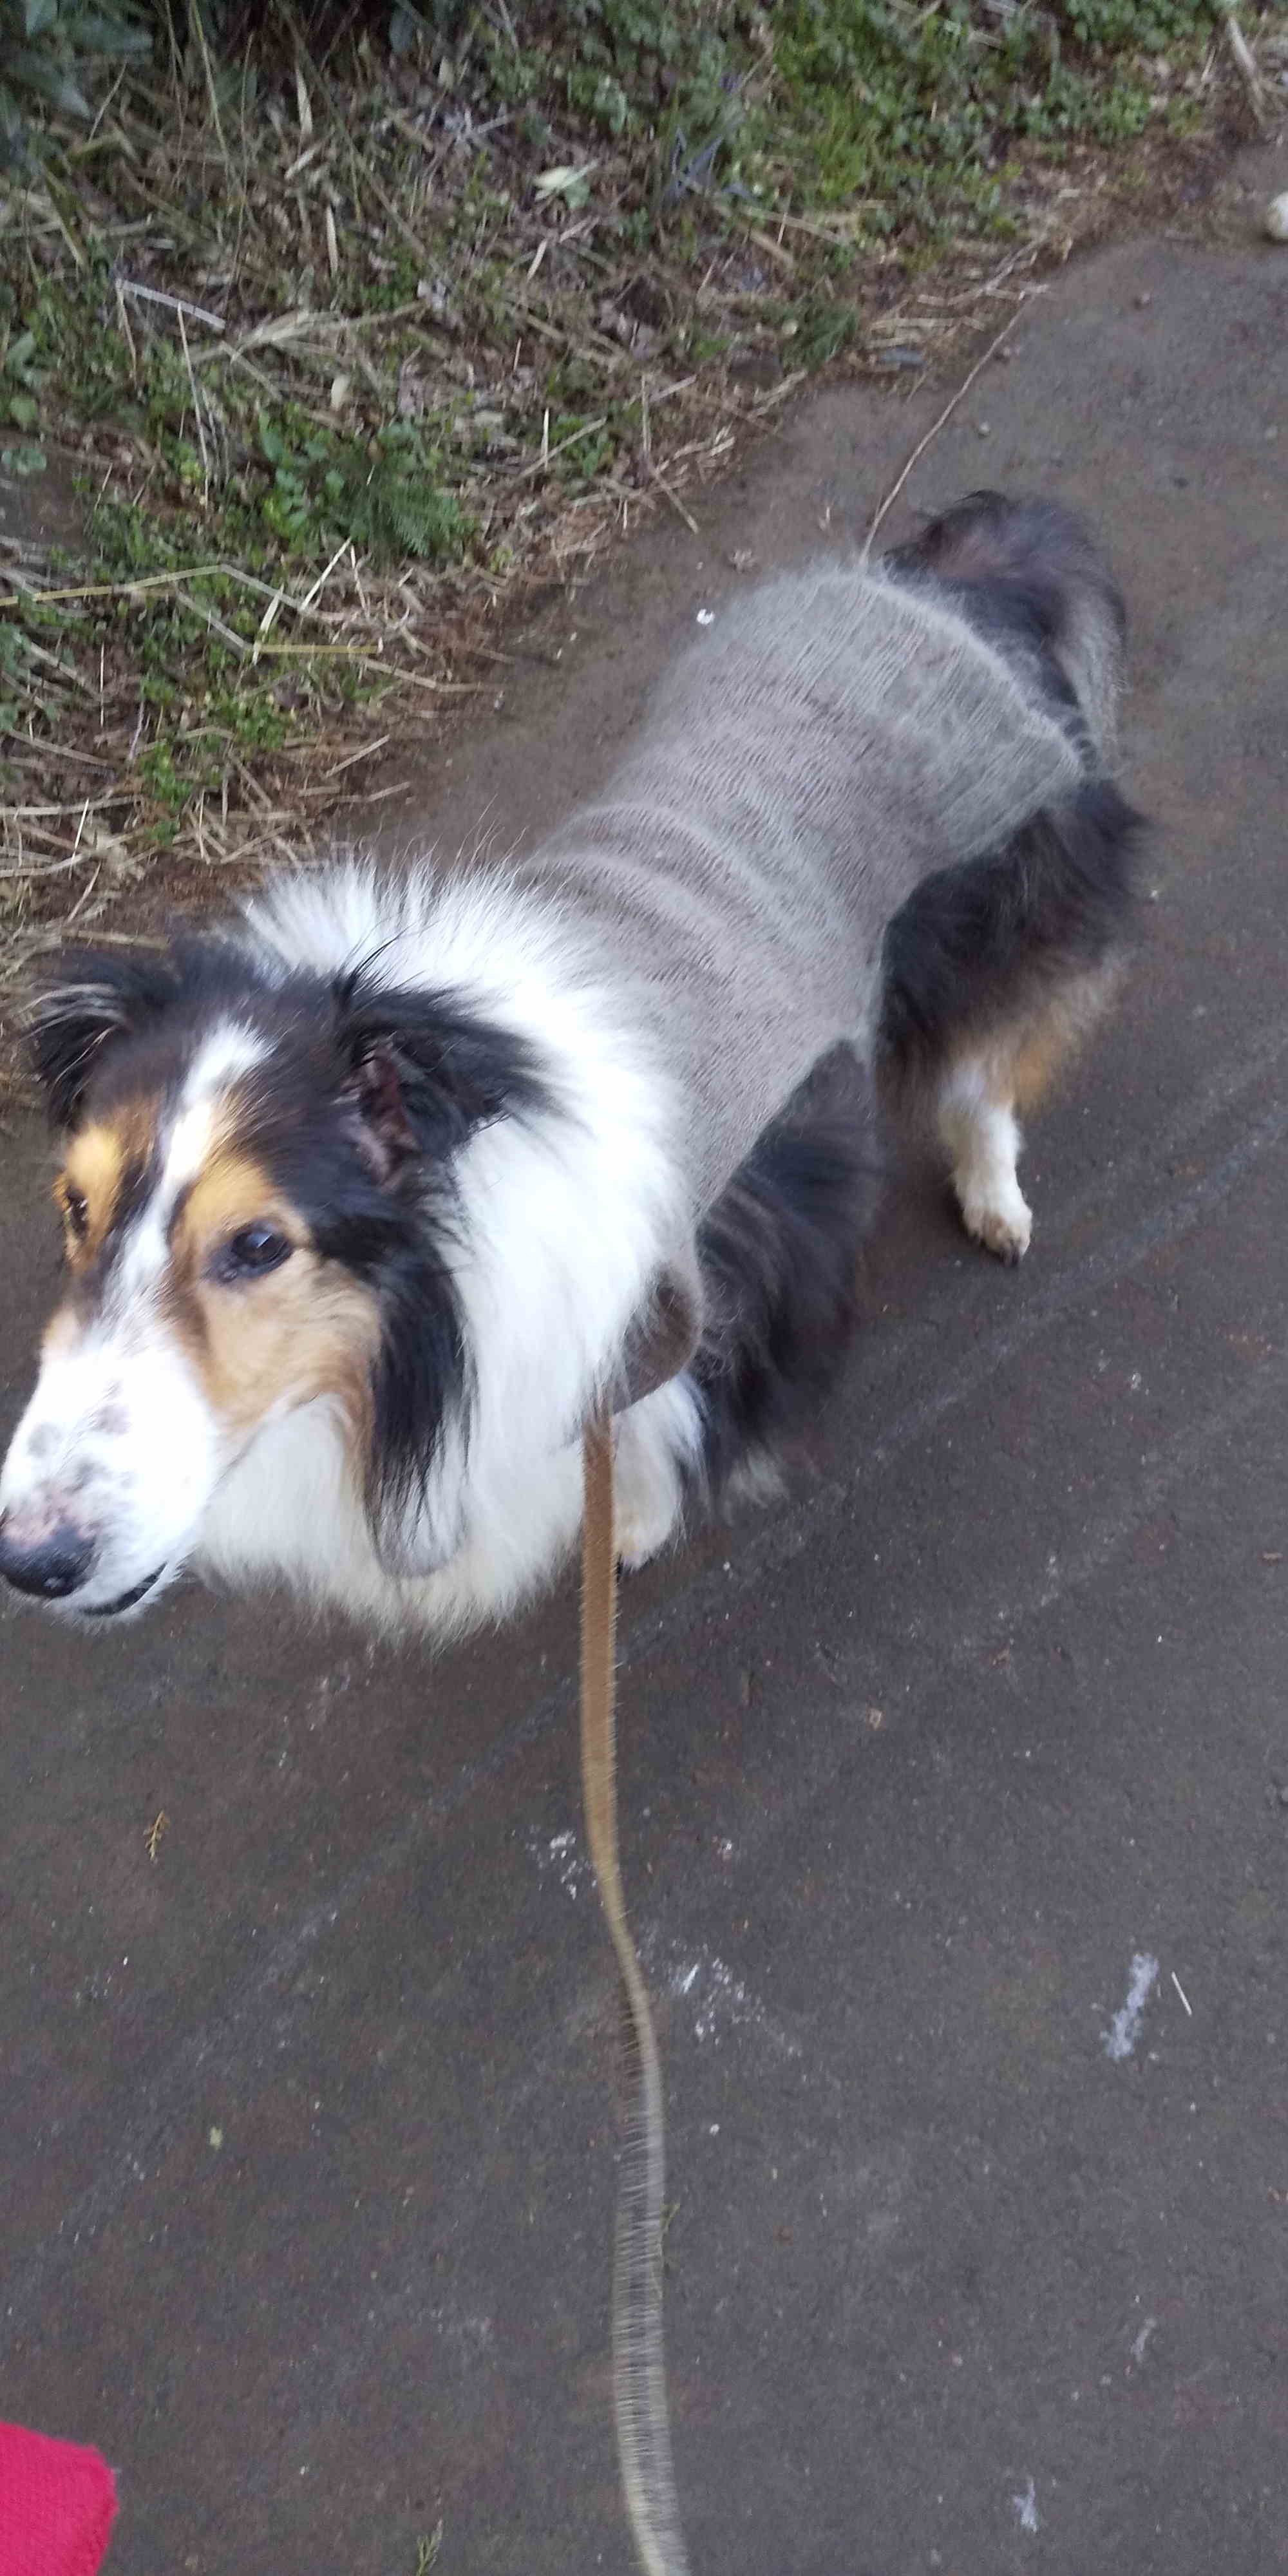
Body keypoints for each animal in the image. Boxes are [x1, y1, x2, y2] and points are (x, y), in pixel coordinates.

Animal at [0, 492, 1143, 1638]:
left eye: (258, 1245)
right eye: (74, 1207)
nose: (32, 1559)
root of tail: (944, 584)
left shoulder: (683, 1307)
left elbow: (655, 1431)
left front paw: (631, 1526)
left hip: (999, 918)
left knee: (982, 1079)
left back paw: (996, 1201)